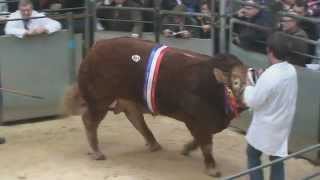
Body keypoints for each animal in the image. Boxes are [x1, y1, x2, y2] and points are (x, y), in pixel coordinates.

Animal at [65, 37, 249, 176]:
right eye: (236, 82)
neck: (216, 87)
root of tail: (96, 47)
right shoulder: (197, 120)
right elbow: (206, 144)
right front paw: (212, 168)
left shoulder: (205, 123)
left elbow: (200, 140)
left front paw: (186, 149)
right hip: (100, 100)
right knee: (90, 120)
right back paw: (97, 151)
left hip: (125, 99)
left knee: (136, 118)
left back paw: (153, 143)